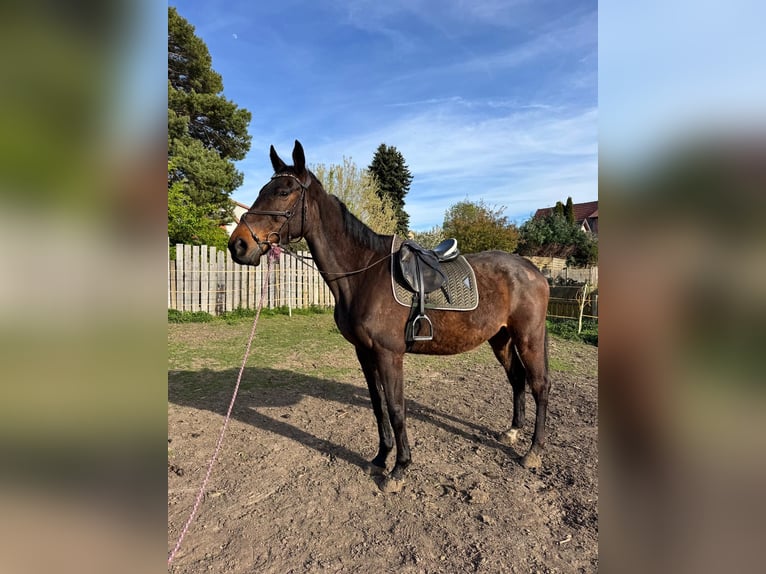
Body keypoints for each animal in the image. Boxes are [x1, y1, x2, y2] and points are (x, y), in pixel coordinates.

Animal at [229, 140, 551, 492]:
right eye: (263, 190)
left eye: (284, 191)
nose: (238, 245)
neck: (364, 274)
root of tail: (534, 270)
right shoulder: (364, 352)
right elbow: (377, 405)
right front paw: (381, 457)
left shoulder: (389, 353)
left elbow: (396, 408)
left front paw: (399, 469)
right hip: (501, 338)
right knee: (517, 379)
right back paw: (513, 432)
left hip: (528, 338)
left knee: (539, 385)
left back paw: (534, 452)